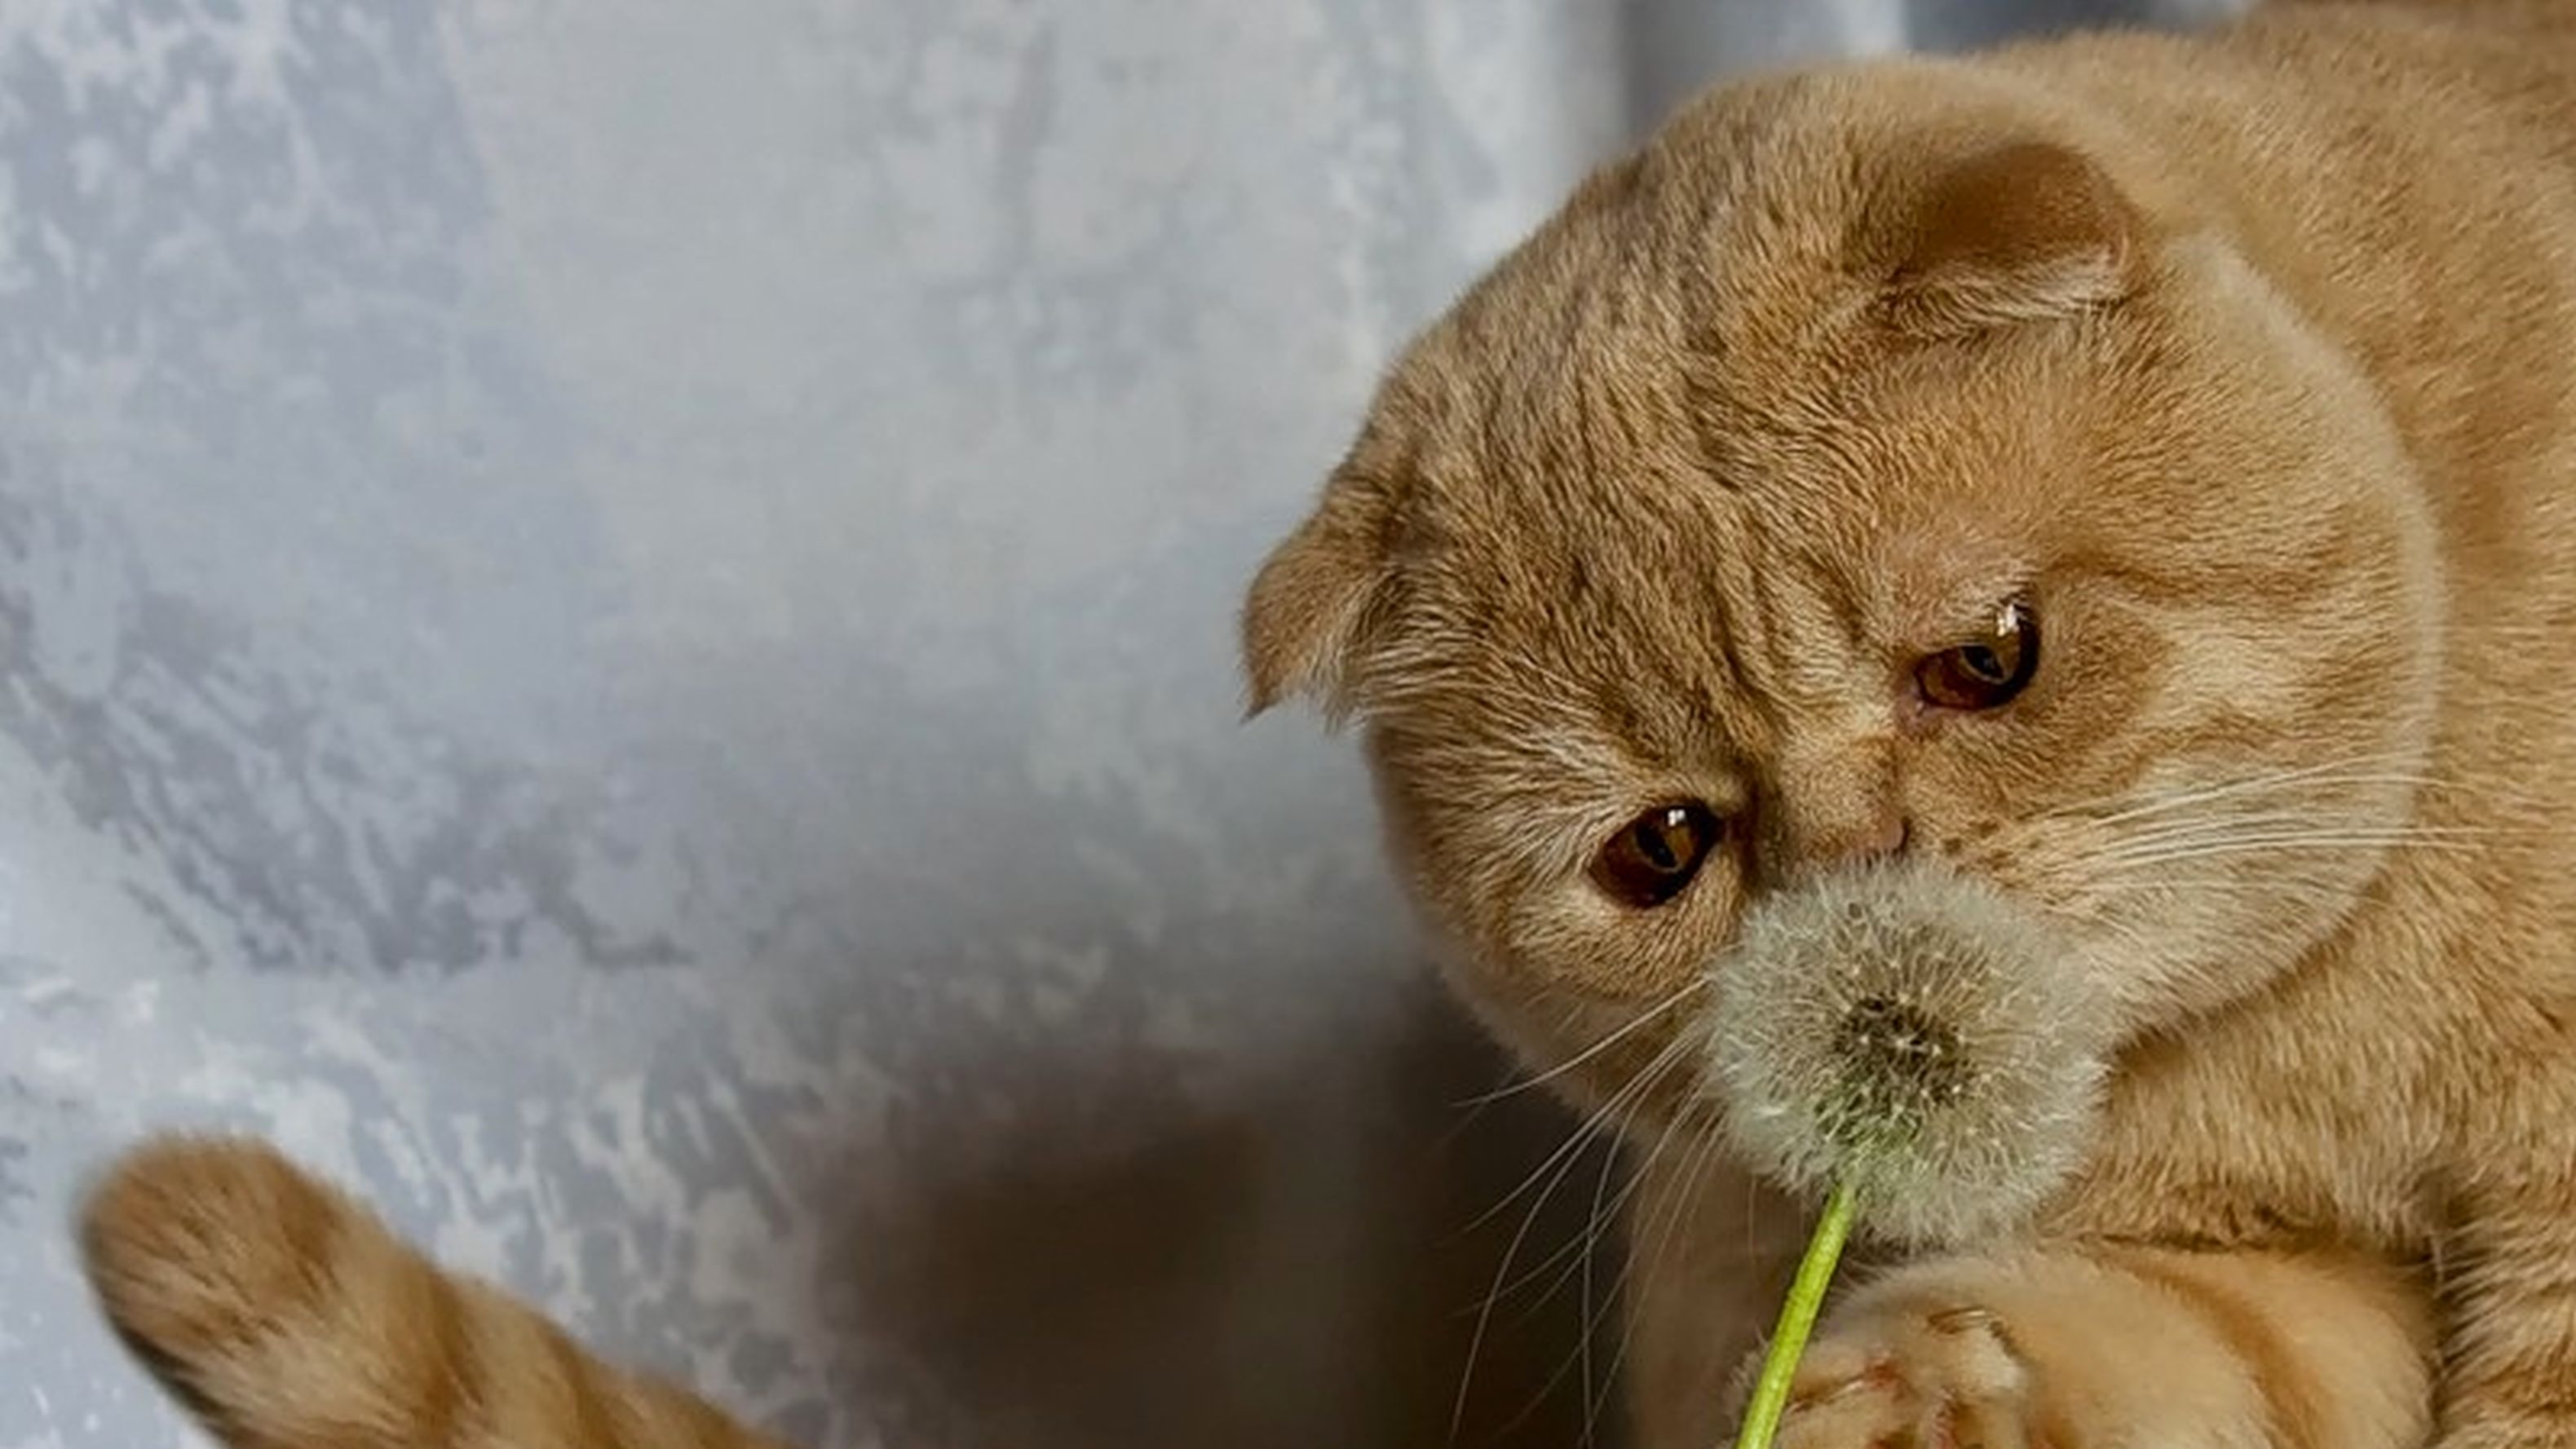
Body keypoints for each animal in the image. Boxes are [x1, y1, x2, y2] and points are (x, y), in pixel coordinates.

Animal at [1238, 1, 2576, 1447]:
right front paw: (1885, 1393)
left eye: (1987, 661)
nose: (1860, 876)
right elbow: (2140, 1343)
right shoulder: (2272, 1277)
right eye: (1660, 848)